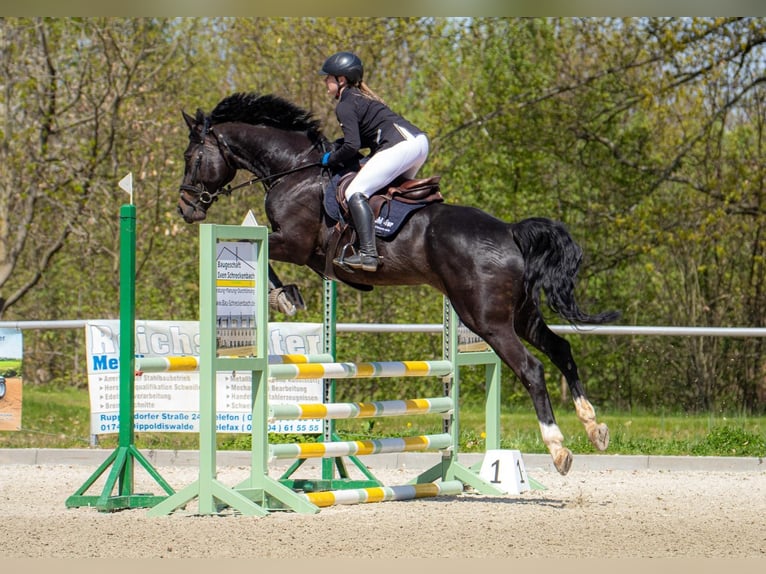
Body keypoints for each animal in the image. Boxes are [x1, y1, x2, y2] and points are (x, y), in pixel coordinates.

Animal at [177, 92, 620, 475]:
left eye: (191, 157)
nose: (186, 208)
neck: (295, 170)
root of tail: (510, 232)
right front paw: (288, 295)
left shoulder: (294, 243)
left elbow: (265, 253)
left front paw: (283, 296)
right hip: (521, 315)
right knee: (561, 350)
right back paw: (595, 427)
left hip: (487, 320)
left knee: (532, 368)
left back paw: (558, 448)